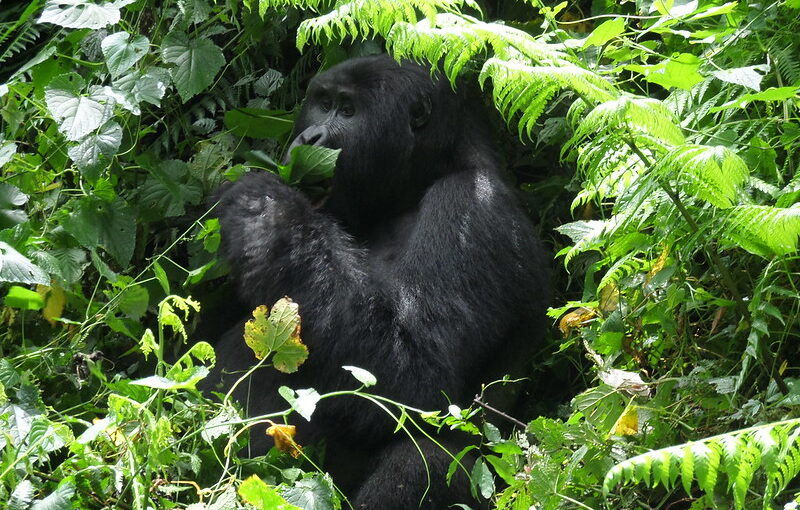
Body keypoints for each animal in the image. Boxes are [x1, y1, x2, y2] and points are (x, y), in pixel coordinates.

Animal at [209, 53, 552, 508]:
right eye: (323, 103)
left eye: (348, 111)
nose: (310, 136)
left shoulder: (473, 207)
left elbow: (414, 381)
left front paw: (268, 210)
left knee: (429, 458)